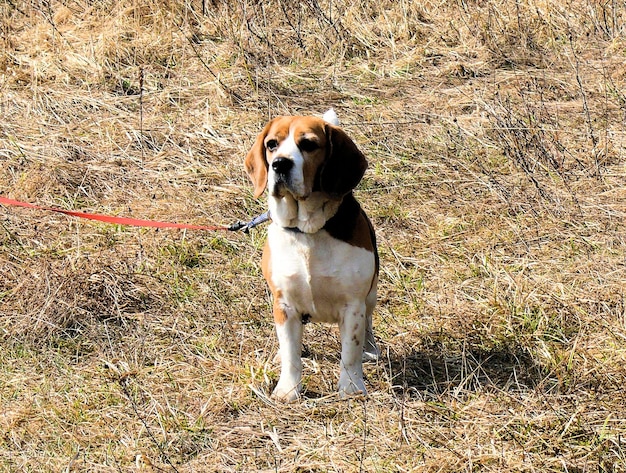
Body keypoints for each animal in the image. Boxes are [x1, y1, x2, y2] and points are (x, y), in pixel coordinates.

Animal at [244, 110, 378, 402]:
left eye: (308, 144)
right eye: (272, 144)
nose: (280, 164)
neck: (308, 232)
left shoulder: (353, 305)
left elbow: (350, 353)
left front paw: (351, 388)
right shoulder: (284, 305)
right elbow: (291, 354)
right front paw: (288, 391)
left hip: (370, 296)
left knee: (368, 324)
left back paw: (371, 349)